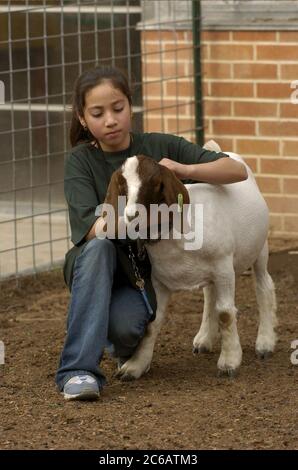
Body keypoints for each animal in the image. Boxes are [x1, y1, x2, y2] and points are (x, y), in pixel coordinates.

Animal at [102, 141, 278, 380]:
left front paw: (230, 361)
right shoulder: (159, 280)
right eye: (121, 184)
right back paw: (204, 339)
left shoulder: (224, 267)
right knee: (209, 295)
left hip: (259, 248)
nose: (131, 216)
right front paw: (135, 366)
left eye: (154, 182)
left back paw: (265, 343)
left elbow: (225, 313)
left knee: (263, 286)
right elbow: (153, 322)